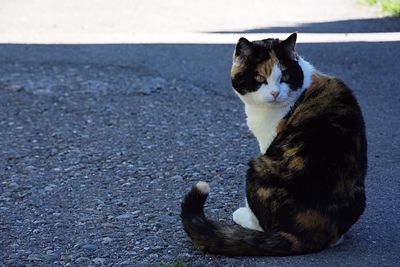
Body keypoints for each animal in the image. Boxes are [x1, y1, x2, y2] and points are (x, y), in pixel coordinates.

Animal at [180, 34, 366, 258]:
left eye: (284, 76)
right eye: (260, 78)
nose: (276, 93)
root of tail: (312, 231)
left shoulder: (267, 142)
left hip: (257, 165)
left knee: (264, 226)